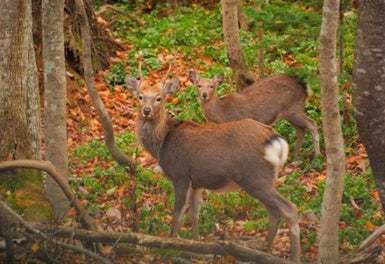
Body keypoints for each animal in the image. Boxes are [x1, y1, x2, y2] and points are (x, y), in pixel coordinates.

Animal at [125, 75, 300, 262]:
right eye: (140, 96)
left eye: (159, 98)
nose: (146, 111)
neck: (162, 144)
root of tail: (274, 138)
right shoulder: (197, 183)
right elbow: (195, 214)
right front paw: (196, 246)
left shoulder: (180, 175)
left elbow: (178, 214)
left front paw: (171, 247)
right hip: (262, 179)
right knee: (274, 212)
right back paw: (264, 249)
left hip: (255, 177)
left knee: (289, 209)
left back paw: (292, 256)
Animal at [188, 70, 320, 157]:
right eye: (198, 85)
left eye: (211, 86)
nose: (204, 95)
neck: (223, 114)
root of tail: (304, 86)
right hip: (290, 112)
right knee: (301, 129)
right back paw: (295, 155)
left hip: (294, 108)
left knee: (312, 124)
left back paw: (317, 155)